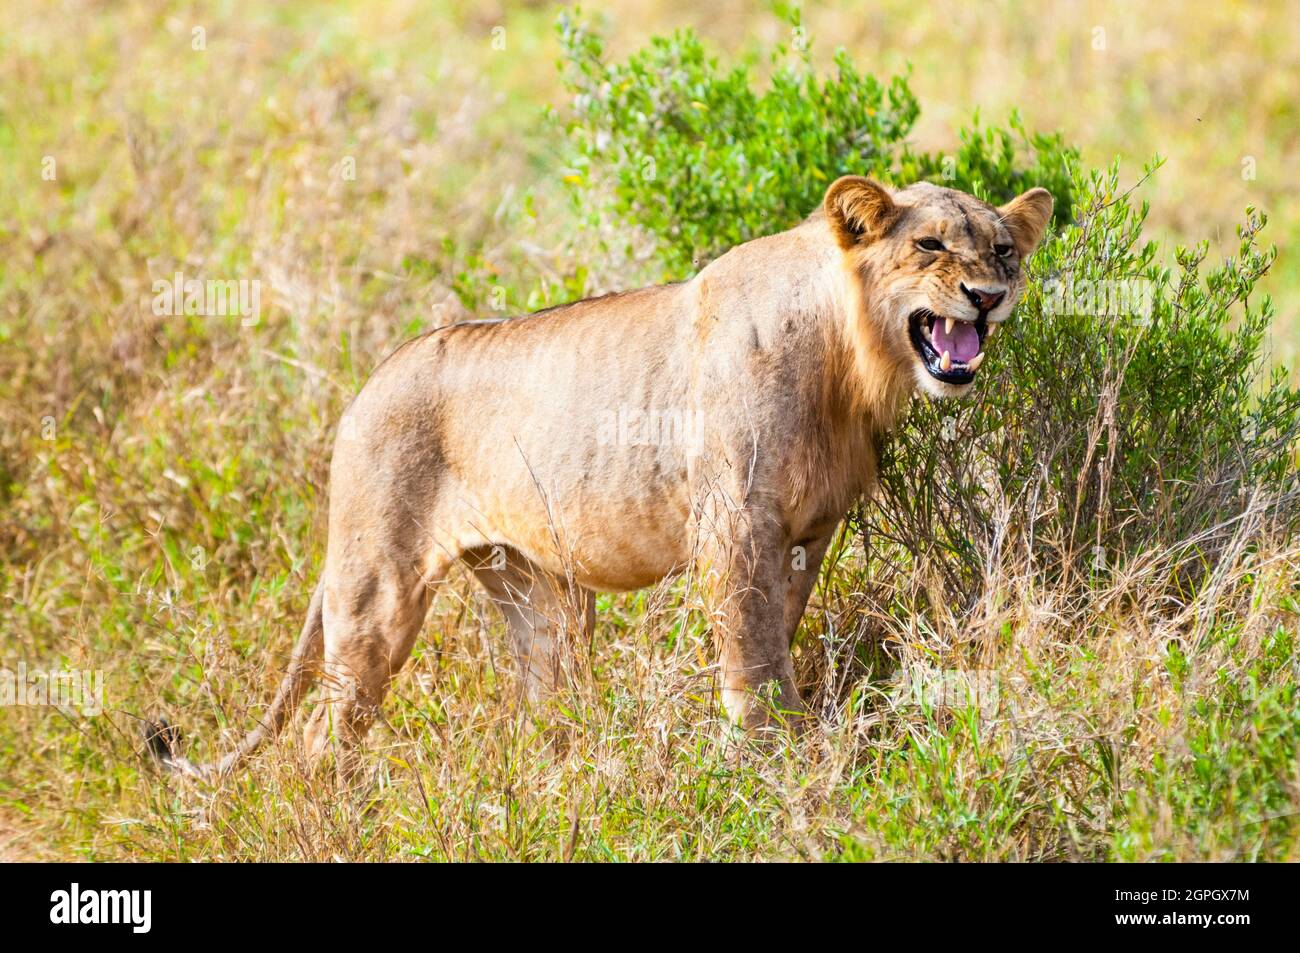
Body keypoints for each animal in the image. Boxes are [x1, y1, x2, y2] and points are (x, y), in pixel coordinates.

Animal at [147, 174, 1050, 774]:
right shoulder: (734, 517)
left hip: (540, 595)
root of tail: (370, 379)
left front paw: (790, 734)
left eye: (1003, 249)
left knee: (539, 706)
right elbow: (750, 643)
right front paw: (769, 750)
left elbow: (779, 629)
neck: (848, 359)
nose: (987, 294)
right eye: (929, 245)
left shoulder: (808, 531)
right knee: (322, 731)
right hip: (375, 587)